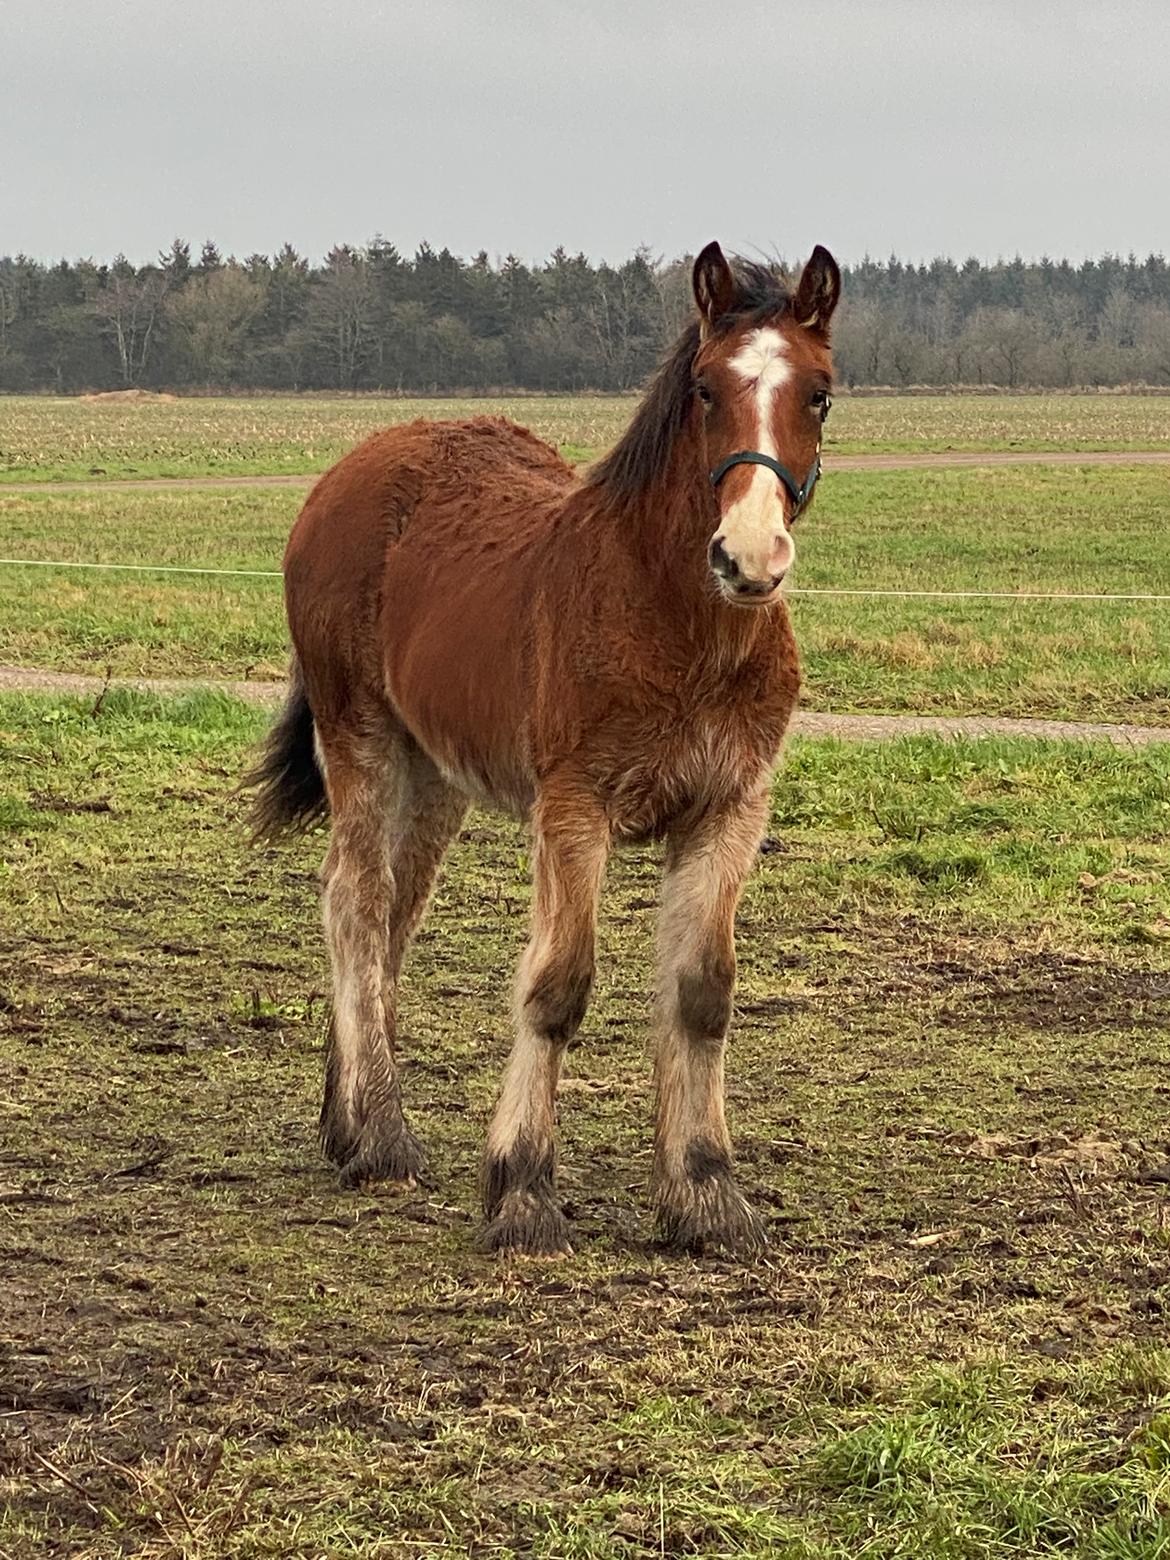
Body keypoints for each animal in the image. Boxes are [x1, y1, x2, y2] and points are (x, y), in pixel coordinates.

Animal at [252, 243, 848, 1254]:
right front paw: (522, 1191)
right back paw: (381, 1134)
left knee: (395, 914)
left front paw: (706, 1193)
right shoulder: (576, 804)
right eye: (703, 388)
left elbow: (704, 991)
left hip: (437, 770)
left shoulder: (730, 808)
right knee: (354, 903)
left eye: (819, 394)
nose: (748, 556)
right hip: (360, 733)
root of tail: (352, 466)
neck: (680, 627)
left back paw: (344, 1118)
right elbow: (558, 985)